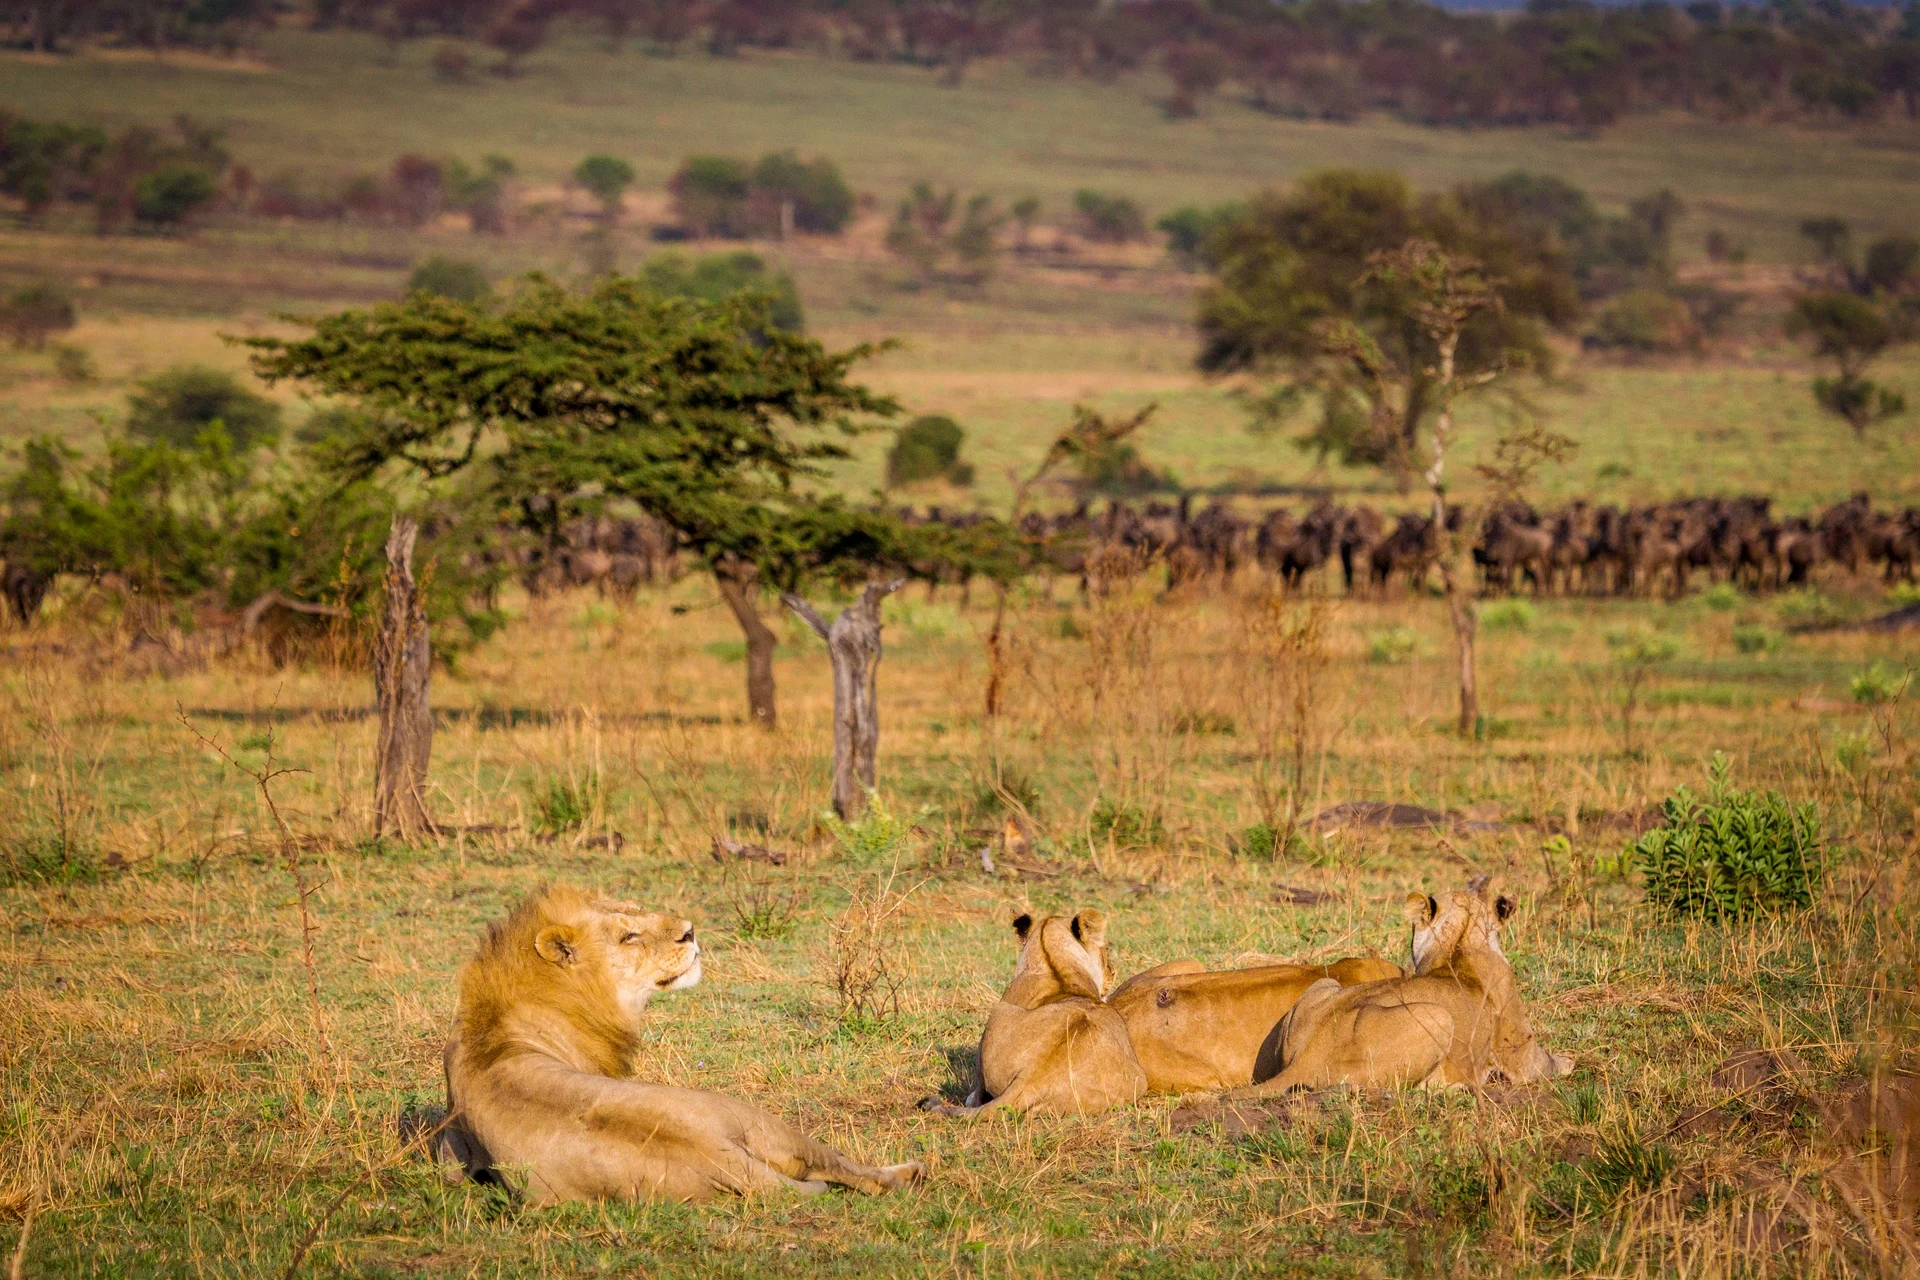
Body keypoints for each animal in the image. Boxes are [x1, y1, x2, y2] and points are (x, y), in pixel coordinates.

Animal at [437, 885, 925, 1204]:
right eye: (629, 936)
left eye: (636, 911)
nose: (690, 931)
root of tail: (720, 1157)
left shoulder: (452, 1146)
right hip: (758, 1117)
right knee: (850, 1168)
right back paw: (910, 1173)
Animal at [1223, 887, 1572, 1098]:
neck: (1457, 945)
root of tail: (1307, 1057)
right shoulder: (1522, 1058)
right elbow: (1548, 1064)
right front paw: (1570, 1061)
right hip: (1437, 1016)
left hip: (1324, 986)